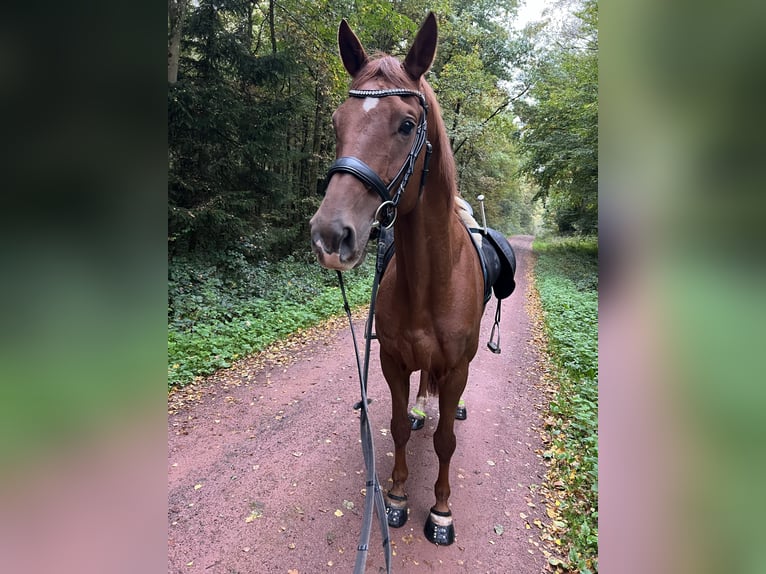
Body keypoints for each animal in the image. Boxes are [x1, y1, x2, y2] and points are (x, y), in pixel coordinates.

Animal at [309, 12, 487, 546]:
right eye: (337, 124)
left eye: (407, 125)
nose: (330, 235)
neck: (431, 280)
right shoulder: (390, 361)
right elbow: (396, 426)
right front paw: (396, 496)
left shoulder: (456, 368)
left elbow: (447, 440)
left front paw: (441, 511)